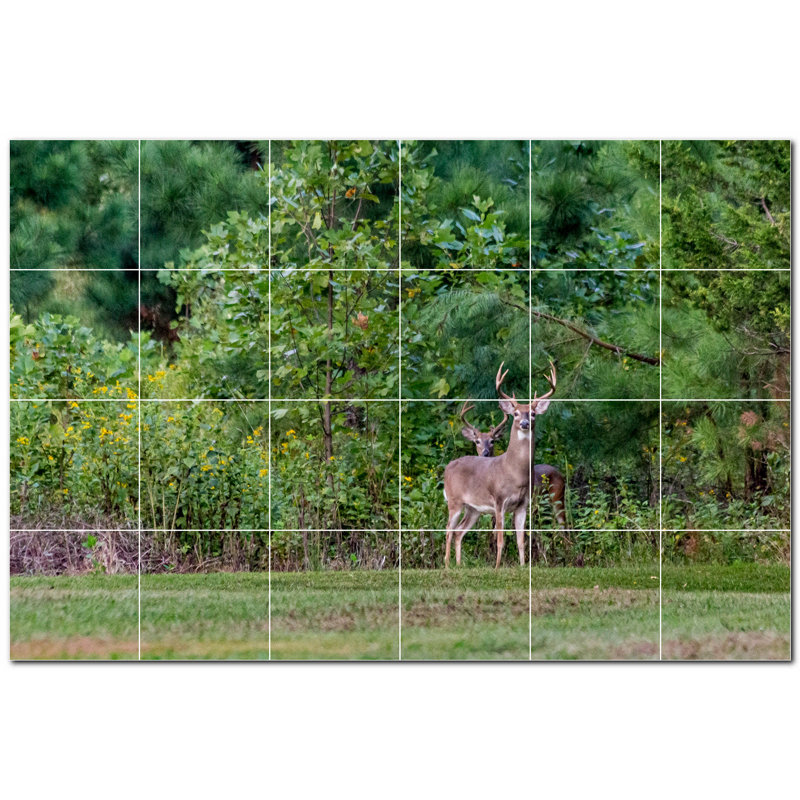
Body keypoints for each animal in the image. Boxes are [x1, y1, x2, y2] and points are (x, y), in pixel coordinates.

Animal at [444, 362, 556, 568]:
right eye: (516, 413)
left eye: (533, 413)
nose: (525, 423)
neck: (515, 472)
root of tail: (448, 467)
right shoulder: (499, 501)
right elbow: (500, 539)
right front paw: (496, 567)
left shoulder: (523, 504)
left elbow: (521, 540)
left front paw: (523, 566)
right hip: (454, 501)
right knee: (449, 529)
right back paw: (447, 565)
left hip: (473, 508)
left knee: (459, 531)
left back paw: (459, 564)